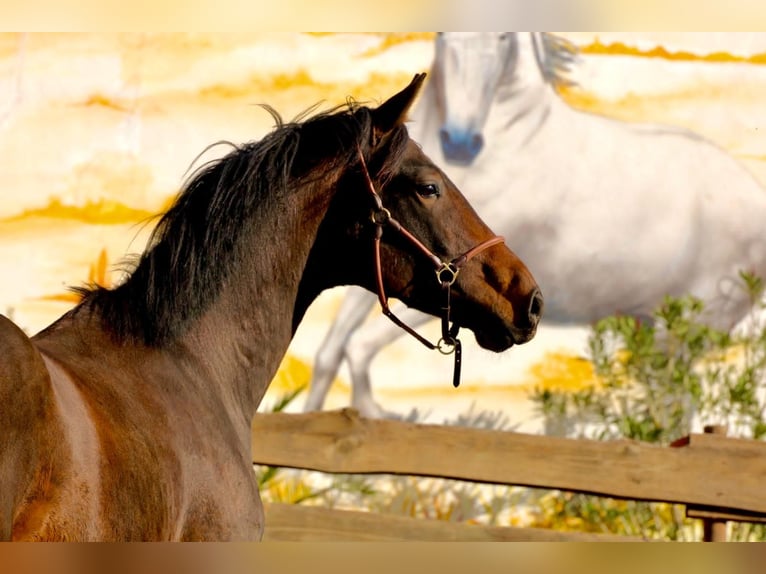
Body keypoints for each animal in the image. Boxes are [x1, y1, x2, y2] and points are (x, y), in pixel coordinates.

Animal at [304, 32, 766, 419]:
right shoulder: (384, 267)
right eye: (442, 37)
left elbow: (357, 348)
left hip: (685, 334)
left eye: (503, 40)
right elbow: (331, 352)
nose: (460, 141)